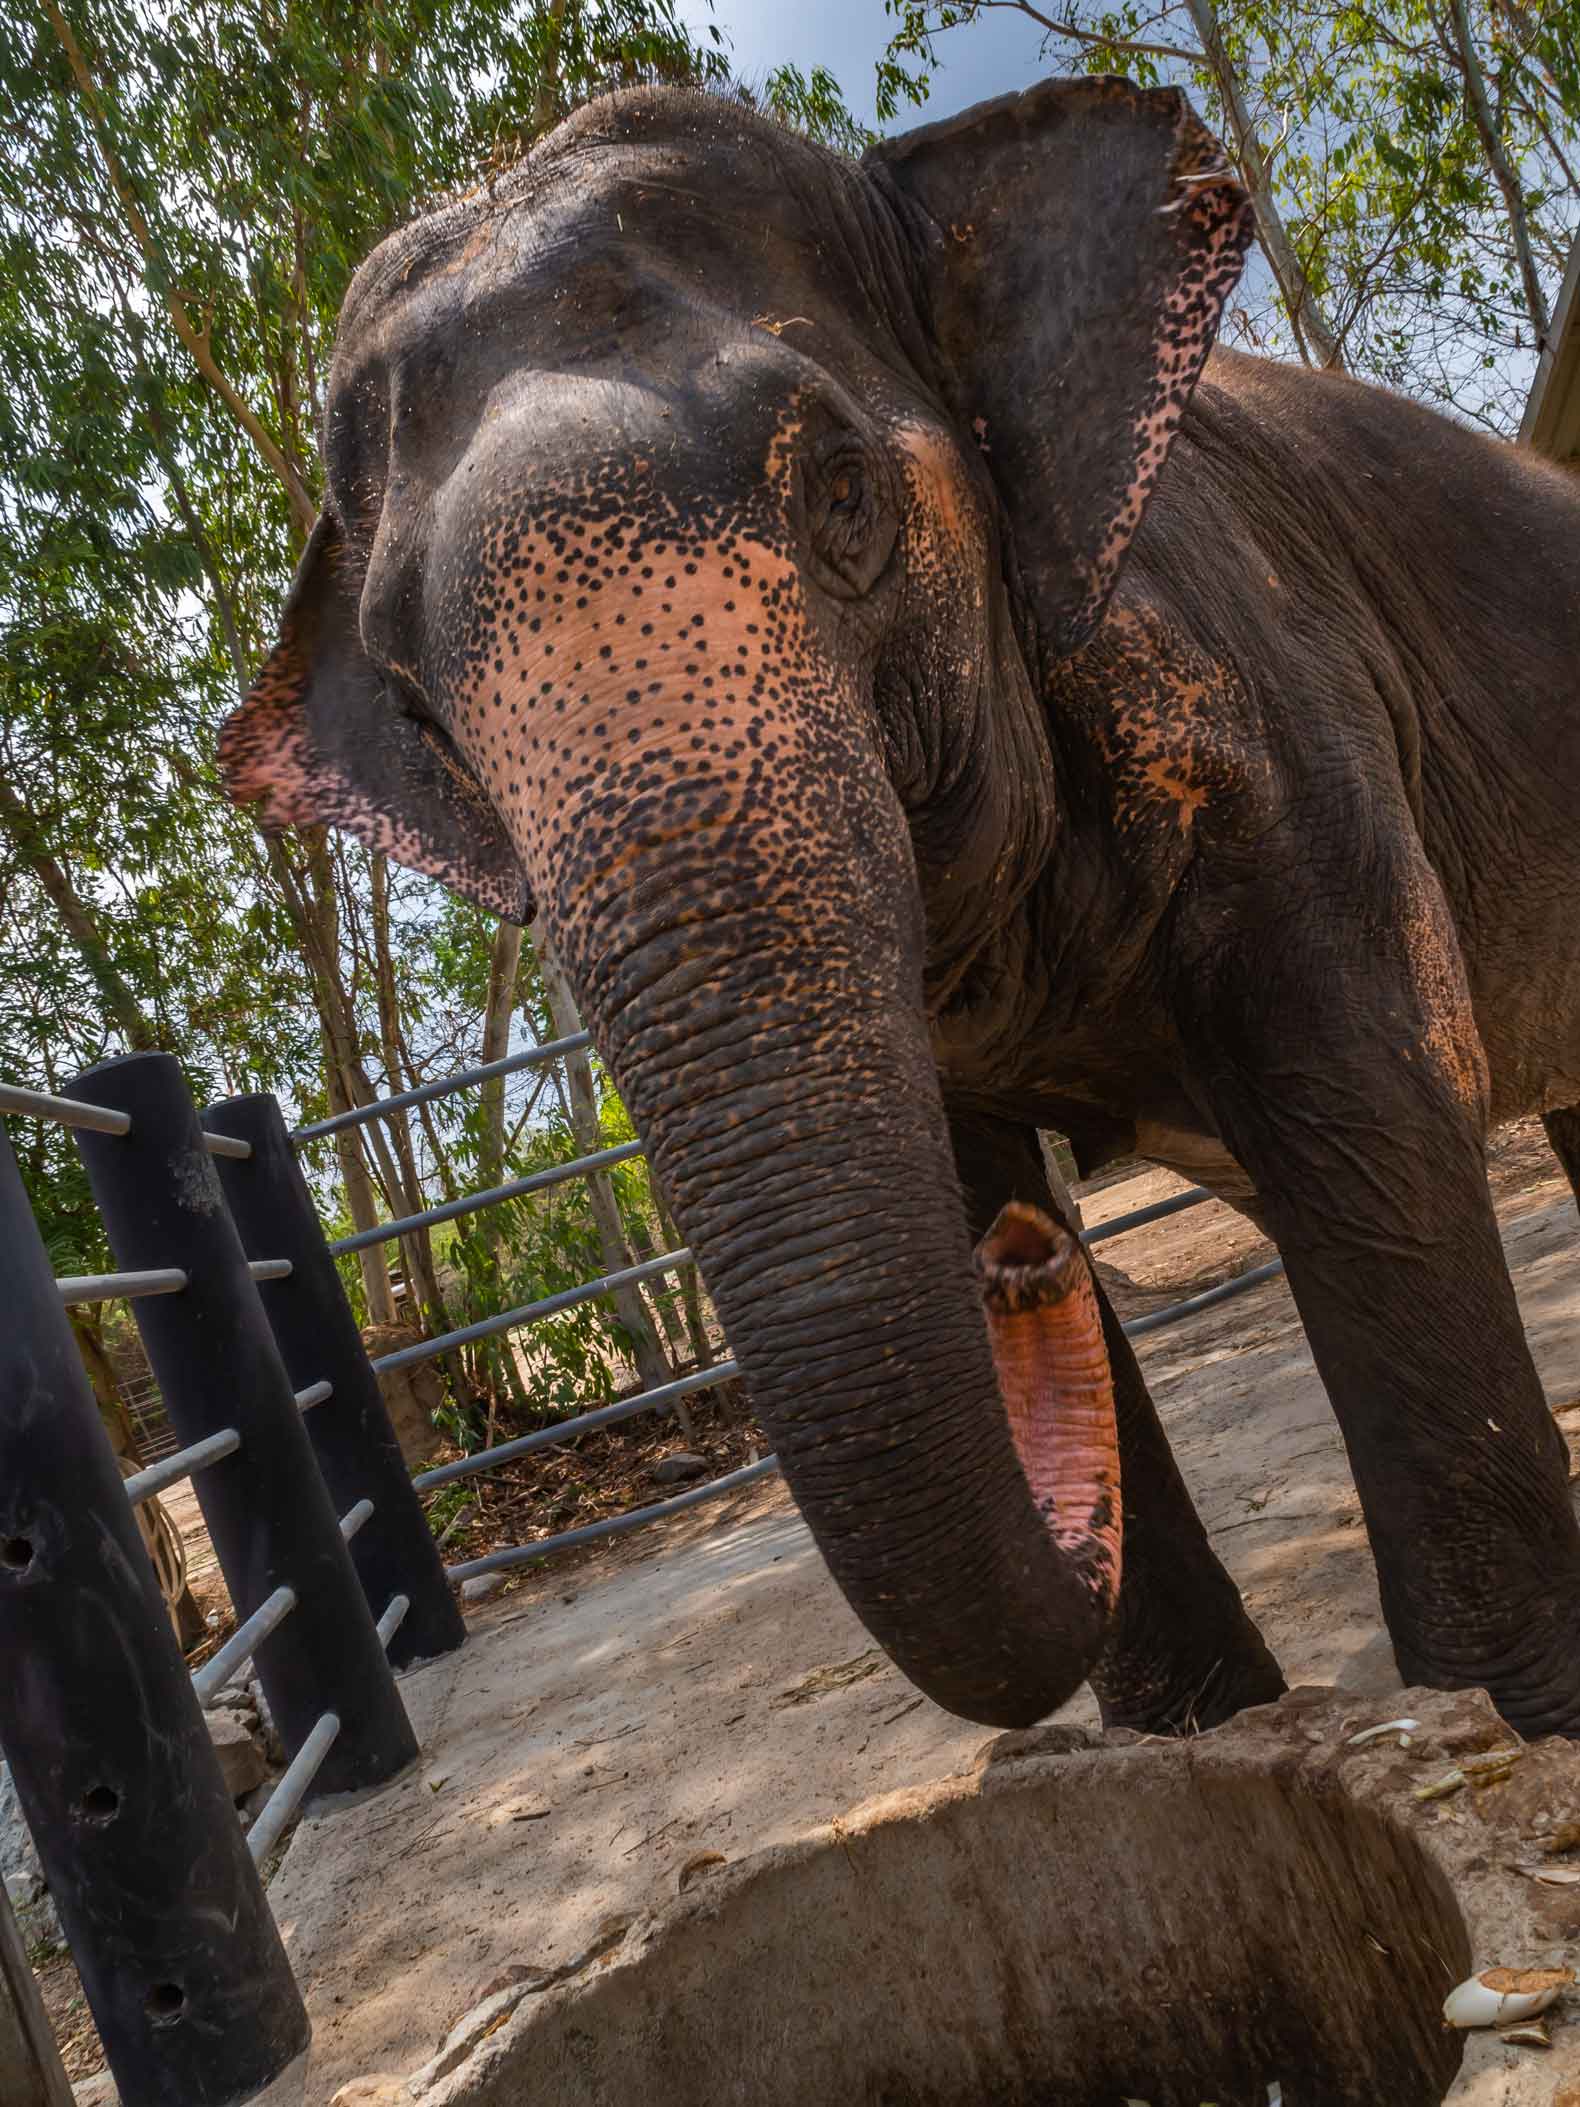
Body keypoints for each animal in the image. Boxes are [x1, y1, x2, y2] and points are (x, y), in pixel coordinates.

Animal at [225, 74, 1580, 1736]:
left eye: (843, 490)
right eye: (413, 701)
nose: (1029, 1256)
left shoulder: (1267, 695)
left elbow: (1370, 1111)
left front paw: (1500, 1726)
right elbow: (951, 1167)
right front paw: (1203, 1740)